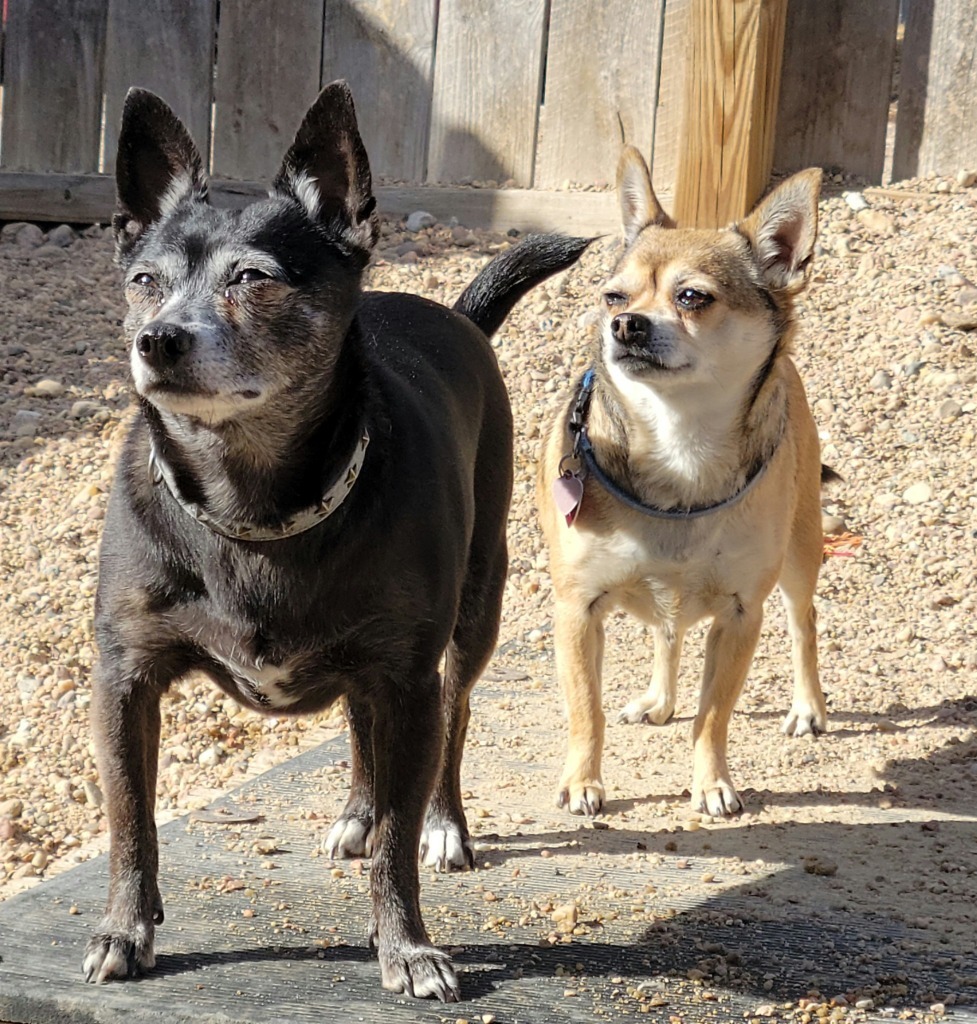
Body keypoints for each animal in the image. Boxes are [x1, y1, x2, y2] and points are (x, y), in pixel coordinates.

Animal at [81, 81, 585, 999]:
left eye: (252, 279)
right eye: (143, 282)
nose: (155, 339)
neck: (250, 507)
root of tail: (456, 316)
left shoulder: (408, 679)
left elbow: (398, 840)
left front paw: (407, 945)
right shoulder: (124, 680)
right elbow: (131, 822)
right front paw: (125, 930)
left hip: (471, 615)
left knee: (453, 720)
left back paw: (445, 824)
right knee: (357, 720)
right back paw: (355, 809)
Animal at [536, 149, 827, 815]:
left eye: (693, 297)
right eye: (613, 296)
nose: (626, 324)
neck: (679, 442)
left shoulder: (743, 614)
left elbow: (713, 715)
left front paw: (712, 783)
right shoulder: (577, 610)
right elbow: (584, 709)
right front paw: (582, 782)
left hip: (801, 554)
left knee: (803, 623)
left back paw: (808, 708)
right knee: (666, 633)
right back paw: (659, 700)